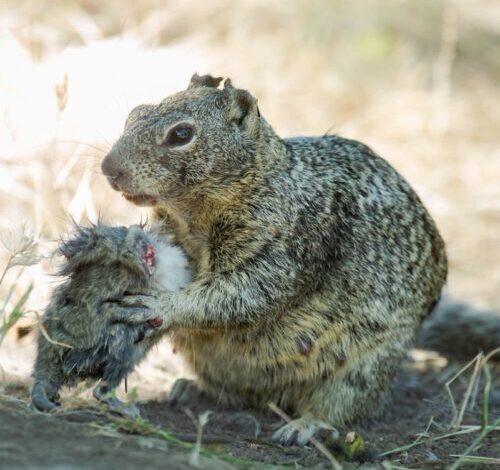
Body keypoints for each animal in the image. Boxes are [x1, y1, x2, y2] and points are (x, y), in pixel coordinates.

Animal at [31, 225, 190, 418]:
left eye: (123, 230)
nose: (136, 235)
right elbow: (95, 312)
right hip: (88, 357)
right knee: (119, 335)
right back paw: (112, 399)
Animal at [99, 73, 498, 444]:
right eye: (135, 114)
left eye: (181, 134)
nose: (108, 168)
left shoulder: (286, 249)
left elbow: (240, 295)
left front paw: (161, 304)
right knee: (239, 396)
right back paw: (193, 391)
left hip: (363, 368)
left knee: (345, 406)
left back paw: (307, 426)